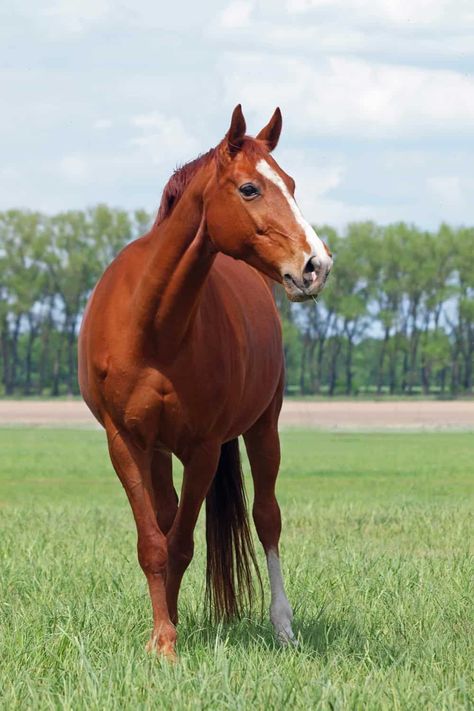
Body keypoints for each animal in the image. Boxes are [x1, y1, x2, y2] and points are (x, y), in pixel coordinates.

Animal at [78, 104, 332, 656]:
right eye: (250, 189)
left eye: (292, 184)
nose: (316, 265)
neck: (155, 326)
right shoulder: (125, 442)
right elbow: (154, 542)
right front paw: (163, 638)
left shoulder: (204, 448)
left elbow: (182, 543)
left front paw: (167, 638)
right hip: (157, 450)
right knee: (168, 516)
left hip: (264, 427)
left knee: (267, 518)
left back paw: (283, 627)